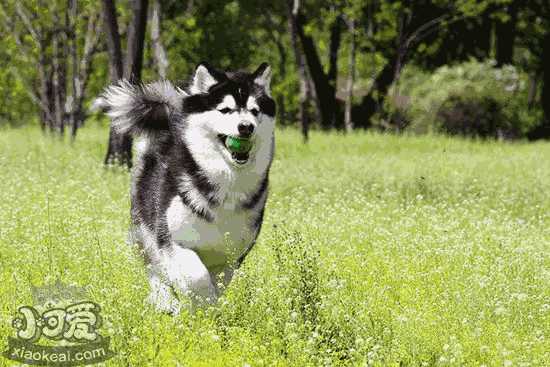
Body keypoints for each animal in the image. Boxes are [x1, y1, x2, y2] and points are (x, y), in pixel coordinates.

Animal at [96, 63, 276, 314]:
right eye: (225, 110)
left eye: (255, 111)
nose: (246, 127)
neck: (227, 183)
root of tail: (169, 121)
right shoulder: (172, 240)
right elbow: (196, 277)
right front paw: (198, 306)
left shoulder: (231, 256)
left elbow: (217, 282)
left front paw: (210, 309)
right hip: (145, 227)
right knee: (154, 268)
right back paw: (165, 300)